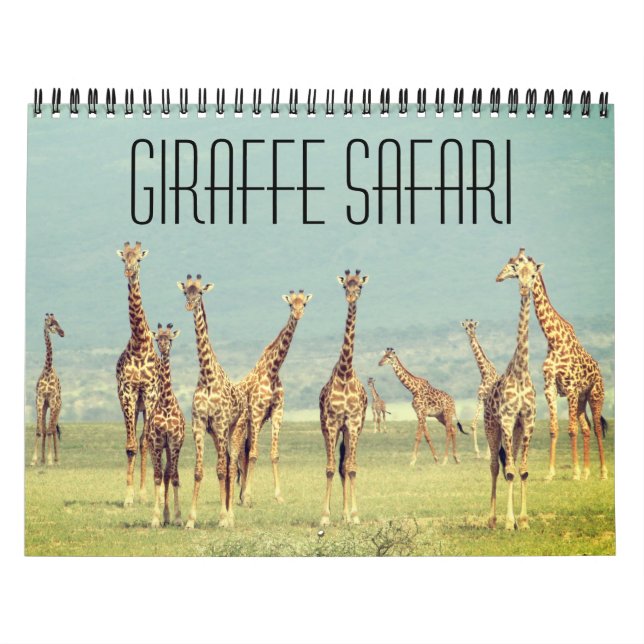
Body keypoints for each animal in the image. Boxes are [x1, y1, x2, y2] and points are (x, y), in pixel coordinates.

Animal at [178, 274, 248, 529]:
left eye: (200, 292)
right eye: (185, 292)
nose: (189, 305)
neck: (207, 376)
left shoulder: (220, 424)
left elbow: (221, 471)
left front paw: (223, 518)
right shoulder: (199, 424)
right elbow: (198, 471)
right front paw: (190, 520)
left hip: (235, 429)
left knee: (231, 465)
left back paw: (230, 516)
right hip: (218, 435)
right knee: (227, 463)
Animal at [237, 290, 312, 507]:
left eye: (304, 303)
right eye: (290, 304)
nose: (298, 313)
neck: (272, 371)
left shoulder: (277, 413)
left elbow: (274, 454)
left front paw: (278, 496)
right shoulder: (256, 412)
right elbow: (254, 455)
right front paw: (248, 497)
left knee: (244, 452)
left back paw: (240, 494)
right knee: (238, 454)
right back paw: (241, 495)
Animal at [461, 320, 500, 459]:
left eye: (474, 327)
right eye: (466, 327)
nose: (471, 334)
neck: (484, 373)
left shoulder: (487, 400)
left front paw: (488, 455)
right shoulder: (481, 398)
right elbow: (473, 425)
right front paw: (477, 453)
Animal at [500, 248, 608, 481]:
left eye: (531, 273)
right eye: (514, 268)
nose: (499, 277)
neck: (554, 339)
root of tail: (599, 370)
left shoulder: (571, 388)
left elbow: (571, 429)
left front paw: (574, 473)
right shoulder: (550, 388)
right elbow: (554, 428)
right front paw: (551, 473)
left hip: (595, 394)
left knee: (596, 427)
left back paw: (602, 473)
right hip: (582, 398)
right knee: (586, 427)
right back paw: (587, 472)